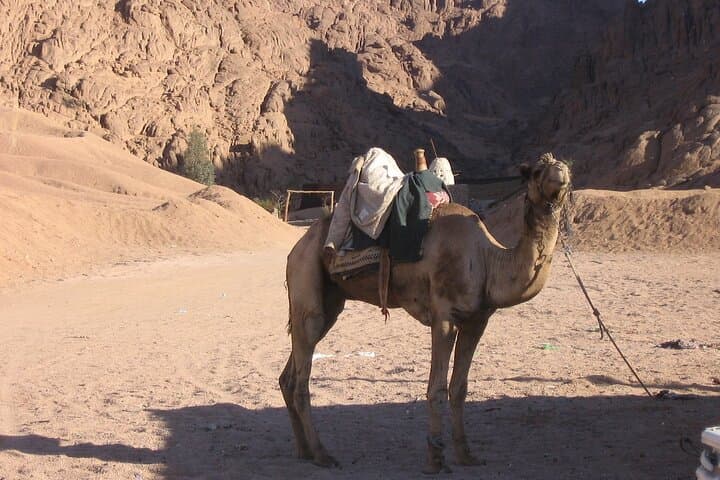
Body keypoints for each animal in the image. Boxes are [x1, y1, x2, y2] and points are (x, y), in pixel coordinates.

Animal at [279, 153, 571, 473]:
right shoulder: (444, 316)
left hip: (329, 303)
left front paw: (466, 455)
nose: (561, 173)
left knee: (289, 375)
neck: (487, 259)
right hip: (307, 284)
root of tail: (295, 249)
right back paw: (322, 454)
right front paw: (435, 458)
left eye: (564, 166)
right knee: (302, 379)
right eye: (536, 171)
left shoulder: (477, 320)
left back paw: (304, 450)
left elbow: (460, 388)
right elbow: (437, 389)